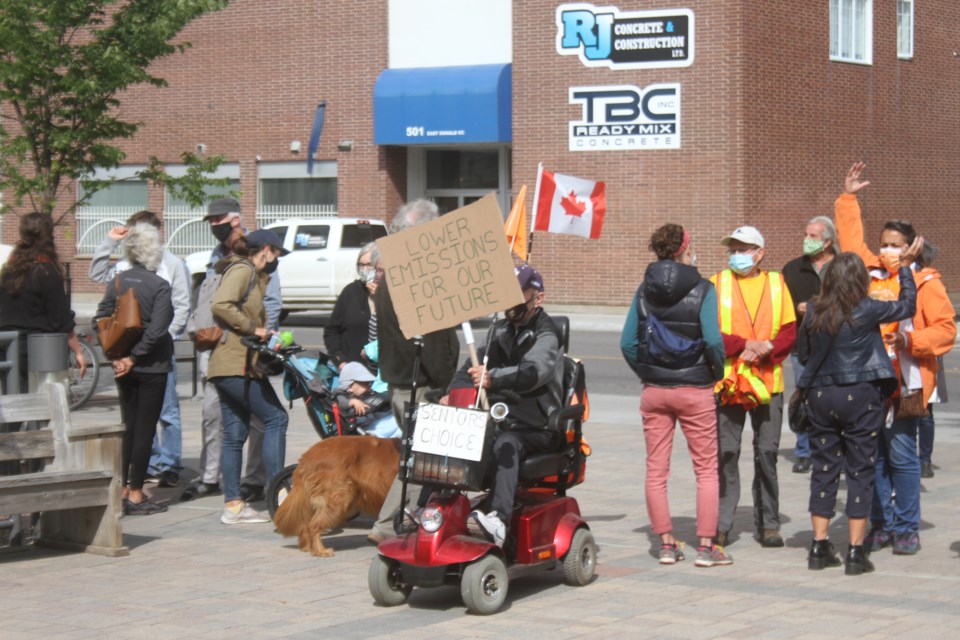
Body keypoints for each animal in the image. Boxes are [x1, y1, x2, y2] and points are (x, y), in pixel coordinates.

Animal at [272, 436, 400, 556]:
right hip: (338, 498)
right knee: (313, 525)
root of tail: (306, 457)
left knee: (306, 524)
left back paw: (307, 547)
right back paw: (320, 551)